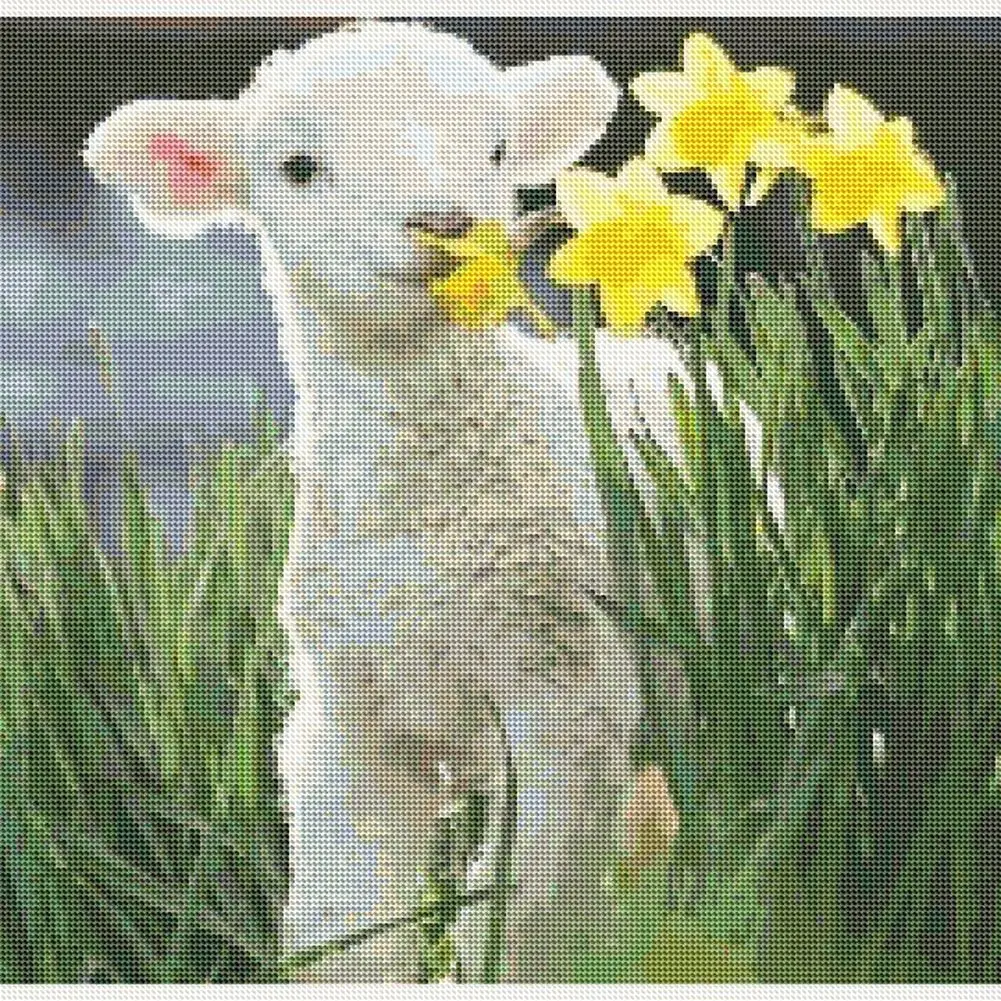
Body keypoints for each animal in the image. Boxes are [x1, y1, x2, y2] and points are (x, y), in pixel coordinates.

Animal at [82, 19, 725, 982]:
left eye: (496, 150)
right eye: (298, 166)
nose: (449, 224)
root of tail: (642, 347)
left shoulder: (567, 697)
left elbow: (523, 919)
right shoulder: (348, 718)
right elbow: (341, 922)